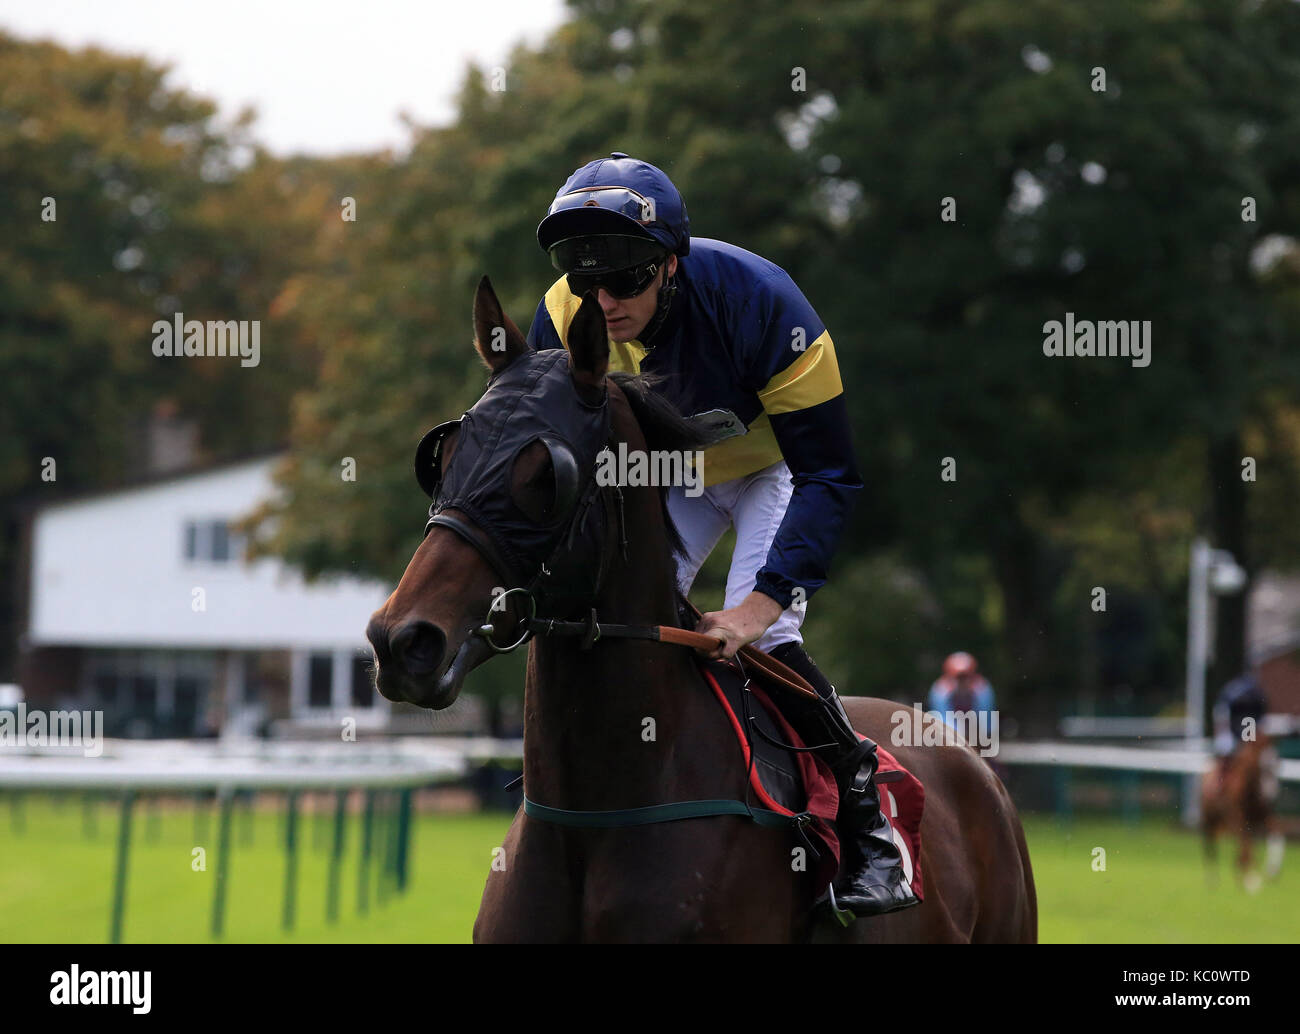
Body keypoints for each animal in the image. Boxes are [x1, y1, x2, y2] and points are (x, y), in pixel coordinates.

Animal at [1201, 738, 1284, 894]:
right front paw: (1251, 880)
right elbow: (1246, 843)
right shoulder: (1237, 818)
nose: (1271, 794)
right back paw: (1213, 879)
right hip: (1209, 820)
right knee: (1210, 846)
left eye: (1276, 763)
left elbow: (1276, 834)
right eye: (1259, 765)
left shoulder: (1263, 815)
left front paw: (1271, 870)